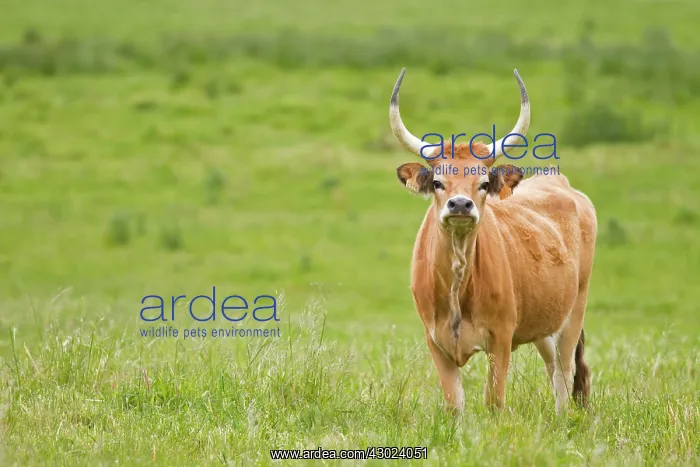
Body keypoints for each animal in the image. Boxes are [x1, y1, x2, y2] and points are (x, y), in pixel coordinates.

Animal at [389, 68, 597, 414]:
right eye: (437, 182)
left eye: (484, 183)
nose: (460, 205)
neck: (458, 285)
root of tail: (558, 180)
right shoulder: (435, 341)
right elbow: (455, 403)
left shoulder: (501, 339)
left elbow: (494, 401)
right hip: (544, 321)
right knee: (553, 367)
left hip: (572, 312)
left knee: (565, 373)